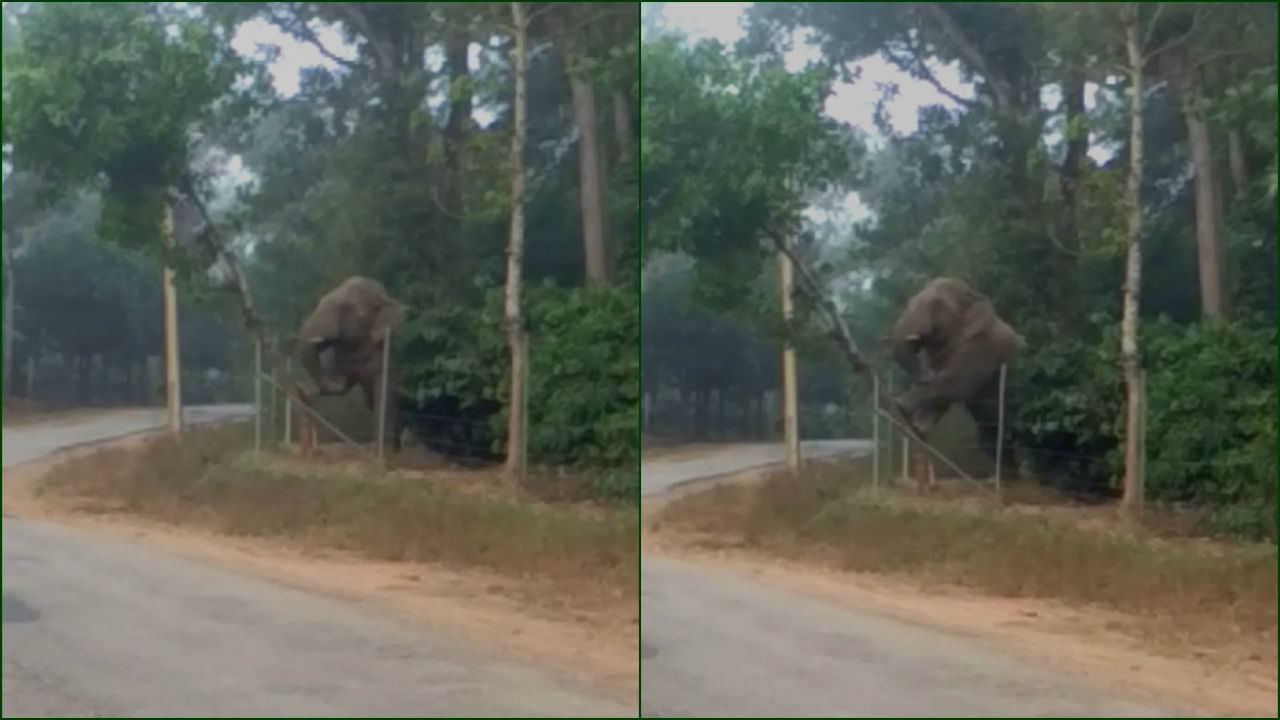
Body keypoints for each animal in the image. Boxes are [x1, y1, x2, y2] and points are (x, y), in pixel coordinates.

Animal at [294, 274, 404, 448]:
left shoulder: (384, 354)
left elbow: (384, 392)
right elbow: (341, 386)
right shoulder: (338, 359)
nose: (299, 386)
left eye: (346, 307)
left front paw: (380, 446)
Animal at [885, 278, 1024, 474]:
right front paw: (917, 429)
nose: (926, 374)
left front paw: (901, 406)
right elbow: (943, 395)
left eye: (938, 305)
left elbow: (956, 385)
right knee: (990, 441)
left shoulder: (984, 347)